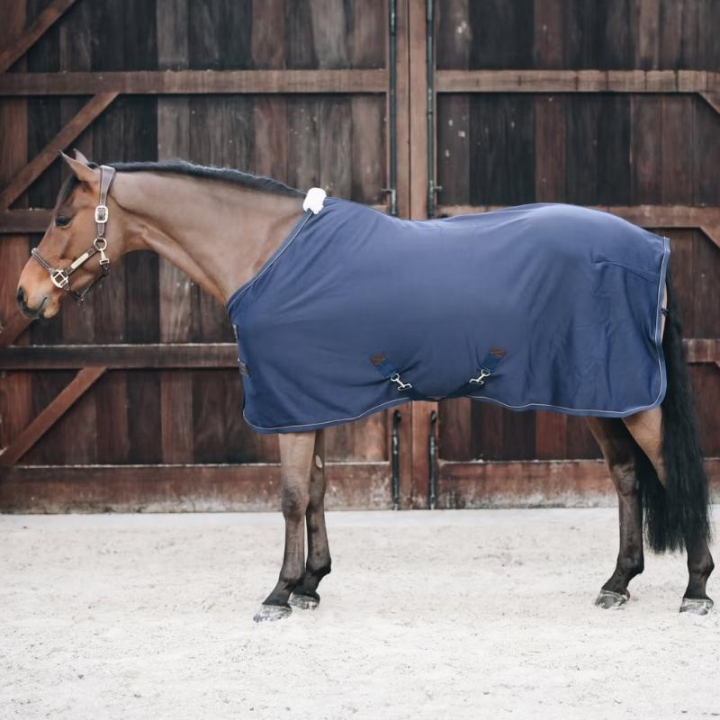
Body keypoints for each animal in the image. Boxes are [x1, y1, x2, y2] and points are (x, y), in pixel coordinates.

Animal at [15, 150, 714, 622]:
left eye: (61, 217)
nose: (25, 294)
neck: (268, 253)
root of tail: (651, 247)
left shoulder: (288, 407)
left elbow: (291, 496)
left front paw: (278, 593)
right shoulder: (307, 400)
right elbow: (317, 490)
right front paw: (311, 583)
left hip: (632, 401)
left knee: (672, 475)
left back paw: (696, 588)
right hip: (601, 395)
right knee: (627, 478)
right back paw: (618, 582)